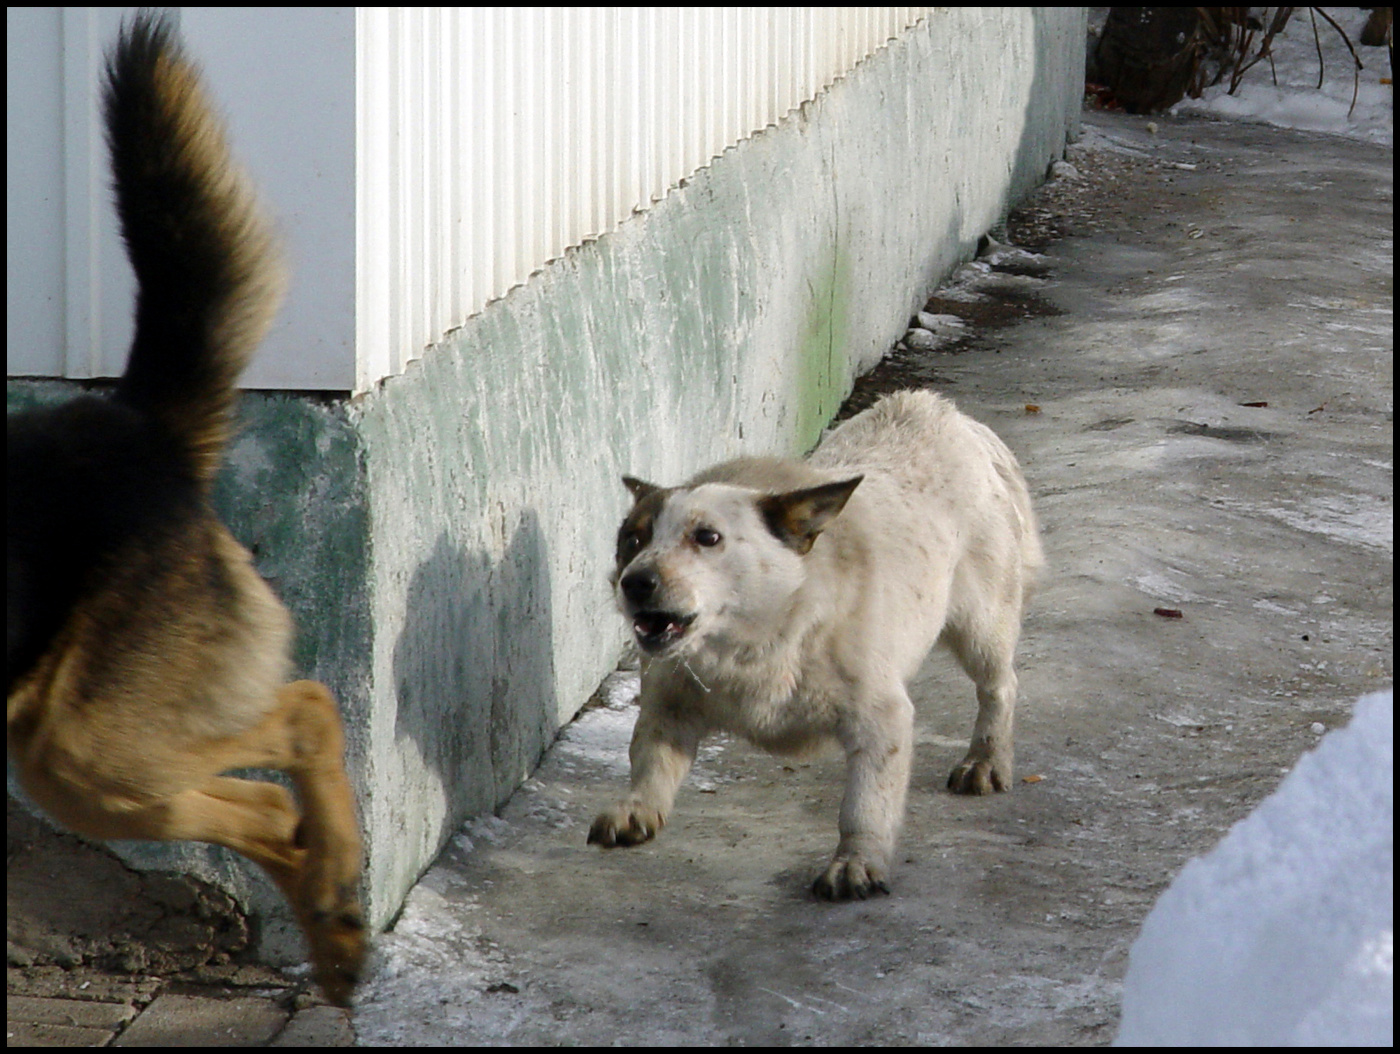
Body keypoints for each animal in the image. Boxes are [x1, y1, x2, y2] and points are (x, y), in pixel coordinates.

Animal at [6, 16, 366, 1002]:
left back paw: (333, 897)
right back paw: (334, 923)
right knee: (265, 803)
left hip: (88, 747)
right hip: (77, 761)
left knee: (304, 713)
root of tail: (136, 421)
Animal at [588, 386, 1041, 895]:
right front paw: (636, 809)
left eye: (707, 537)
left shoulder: (881, 719)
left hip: (981, 625)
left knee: (999, 686)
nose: (634, 582)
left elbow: (864, 805)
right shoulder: (669, 705)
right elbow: (649, 761)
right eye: (632, 539)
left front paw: (856, 861)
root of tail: (944, 411)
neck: (759, 640)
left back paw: (986, 759)